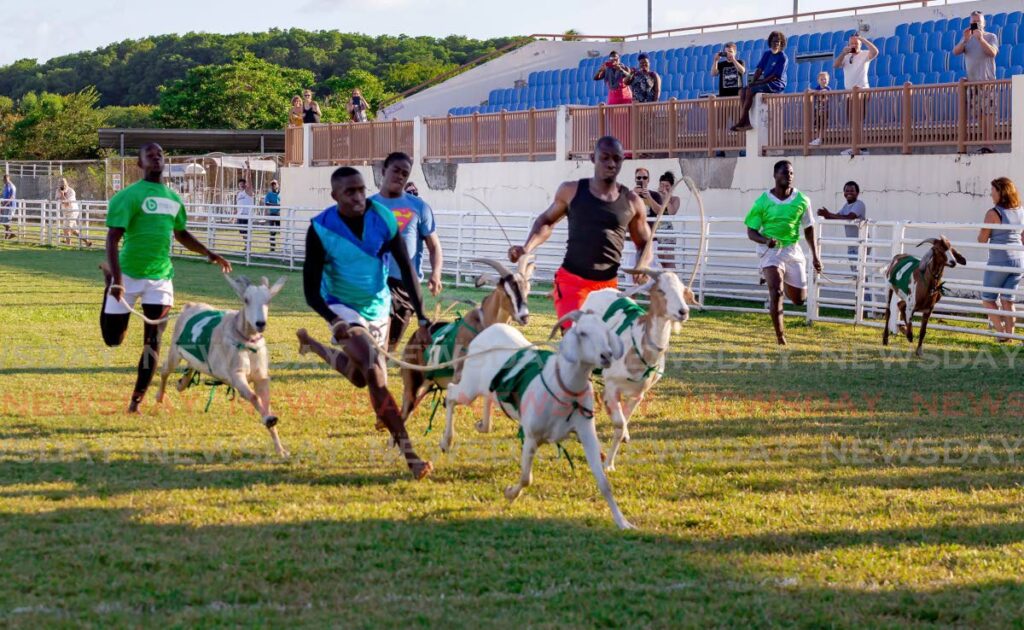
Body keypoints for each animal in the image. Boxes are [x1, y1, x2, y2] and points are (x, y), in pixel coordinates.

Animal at [153, 274, 288, 456]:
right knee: (165, 370)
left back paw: (183, 382)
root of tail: (189, 306)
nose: (260, 323)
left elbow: (265, 400)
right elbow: (253, 396)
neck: (247, 342)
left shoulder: (261, 376)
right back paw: (160, 395)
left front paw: (280, 447)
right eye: (246, 299)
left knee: (192, 365)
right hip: (175, 351)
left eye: (268, 300)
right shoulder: (236, 374)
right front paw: (269, 420)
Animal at [397, 256, 536, 424]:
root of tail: (414, 336)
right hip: (413, 382)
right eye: (506, 292)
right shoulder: (459, 377)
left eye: (527, 289)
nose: (524, 317)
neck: (483, 325)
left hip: (427, 385)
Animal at [440, 313, 630, 528]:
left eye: (606, 331)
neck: (562, 388)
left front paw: (623, 522)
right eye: (583, 333)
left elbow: (604, 483)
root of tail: (486, 332)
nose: (606, 356)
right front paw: (510, 493)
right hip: (469, 386)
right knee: (451, 393)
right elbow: (526, 478)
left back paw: (482, 425)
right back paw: (447, 441)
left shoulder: (586, 431)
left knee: (486, 398)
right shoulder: (532, 436)